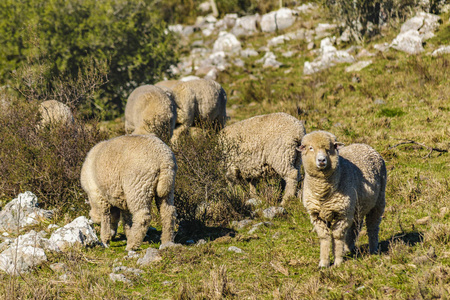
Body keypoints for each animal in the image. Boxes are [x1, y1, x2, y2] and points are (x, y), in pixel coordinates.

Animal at [298, 131, 386, 268]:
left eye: (330, 148)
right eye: (310, 148)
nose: (322, 160)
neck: (323, 192)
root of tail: (364, 145)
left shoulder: (342, 214)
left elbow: (337, 236)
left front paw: (338, 261)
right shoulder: (316, 215)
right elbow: (324, 237)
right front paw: (323, 263)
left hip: (377, 202)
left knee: (372, 226)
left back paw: (373, 250)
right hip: (357, 207)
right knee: (356, 226)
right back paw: (349, 248)